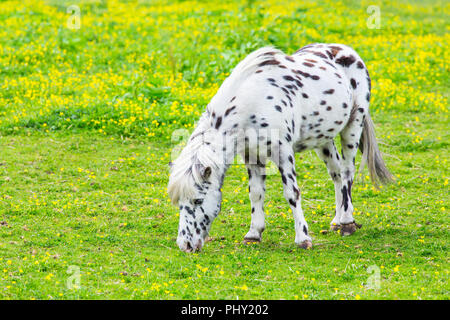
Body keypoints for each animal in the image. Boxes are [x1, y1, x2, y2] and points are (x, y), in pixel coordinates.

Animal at [167, 43, 392, 252]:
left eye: (198, 201)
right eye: (179, 203)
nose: (185, 245)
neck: (253, 101)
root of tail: (346, 50)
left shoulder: (283, 152)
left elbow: (292, 193)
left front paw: (303, 238)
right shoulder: (252, 155)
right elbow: (255, 193)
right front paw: (253, 234)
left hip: (353, 126)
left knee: (347, 172)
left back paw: (346, 222)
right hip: (324, 139)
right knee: (336, 174)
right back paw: (337, 220)